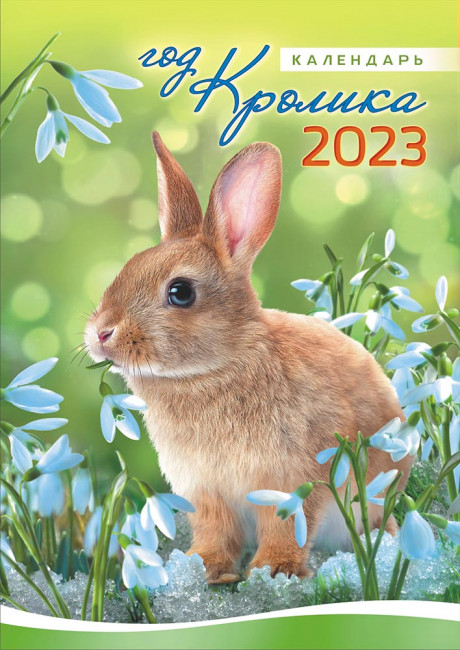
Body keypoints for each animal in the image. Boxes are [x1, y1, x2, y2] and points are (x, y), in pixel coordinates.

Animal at [85, 131, 412, 584]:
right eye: (128, 266)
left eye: (180, 292)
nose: (101, 333)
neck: (215, 368)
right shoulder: (206, 491)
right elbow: (216, 531)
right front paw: (203, 570)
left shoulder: (289, 481)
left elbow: (285, 525)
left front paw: (275, 572)